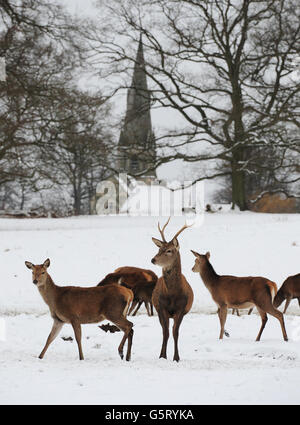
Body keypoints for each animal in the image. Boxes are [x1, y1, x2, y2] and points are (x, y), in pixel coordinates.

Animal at [150, 219, 195, 362]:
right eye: (159, 249)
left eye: (169, 250)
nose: (153, 259)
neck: (172, 295)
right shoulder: (162, 308)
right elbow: (166, 333)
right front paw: (162, 356)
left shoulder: (181, 309)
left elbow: (176, 332)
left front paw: (176, 357)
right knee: (164, 330)